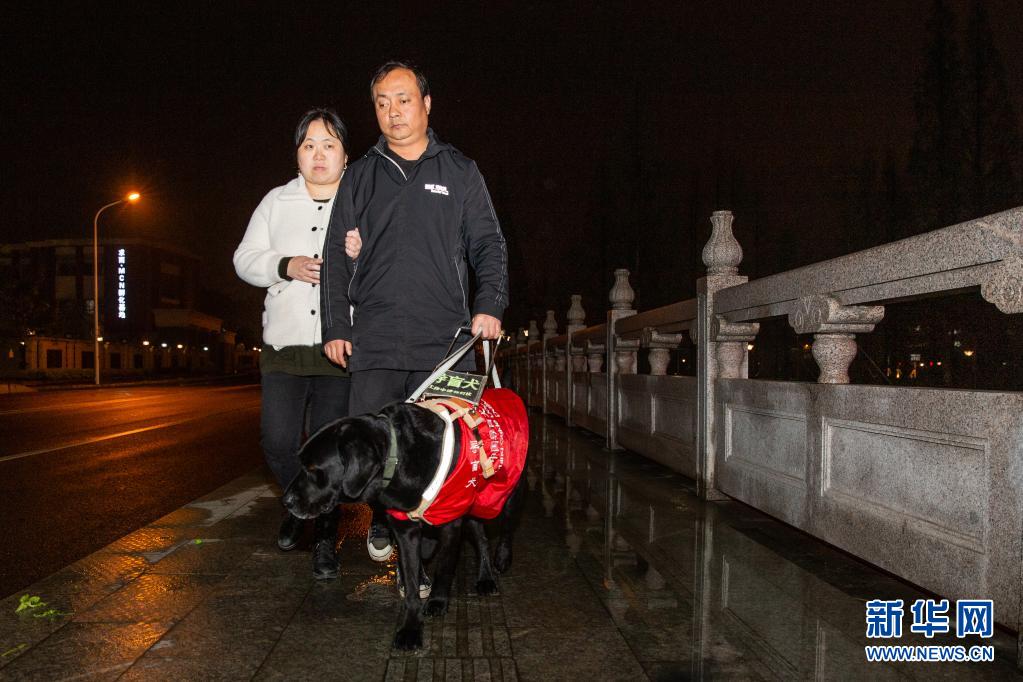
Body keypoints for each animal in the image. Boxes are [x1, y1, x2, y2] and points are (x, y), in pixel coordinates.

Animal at [282, 388, 528, 650]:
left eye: (313, 469)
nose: (286, 500)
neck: (398, 458)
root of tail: (504, 391)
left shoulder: (451, 521)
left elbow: (444, 566)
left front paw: (437, 601)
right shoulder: (405, 529)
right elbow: (410, 581)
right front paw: (410, 627)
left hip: (506, 491)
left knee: (505, 529)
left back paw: (499, 562)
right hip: (475, 498)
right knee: (480, 536)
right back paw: (484, 576)